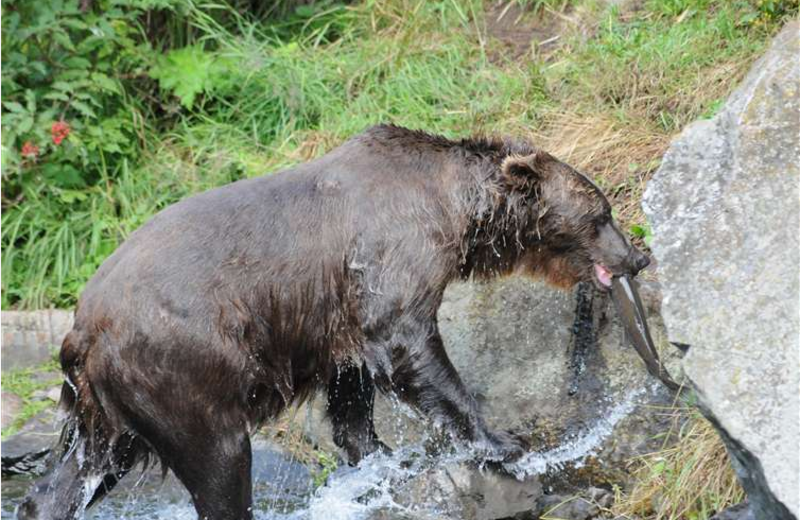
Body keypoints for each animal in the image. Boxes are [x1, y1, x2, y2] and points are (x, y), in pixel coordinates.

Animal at [18, 124, 649, 520]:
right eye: (602, 214)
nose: (638, 257)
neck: (455, 209)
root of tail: (81, 328)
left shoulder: (335, 317)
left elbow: (352, 392)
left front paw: (381, 456)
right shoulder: (391, 258)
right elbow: (410, 347)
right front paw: (505, 442)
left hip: (108, 403)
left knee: (85, 467)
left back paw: (42, 501)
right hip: (179, 369)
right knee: (220, 462)